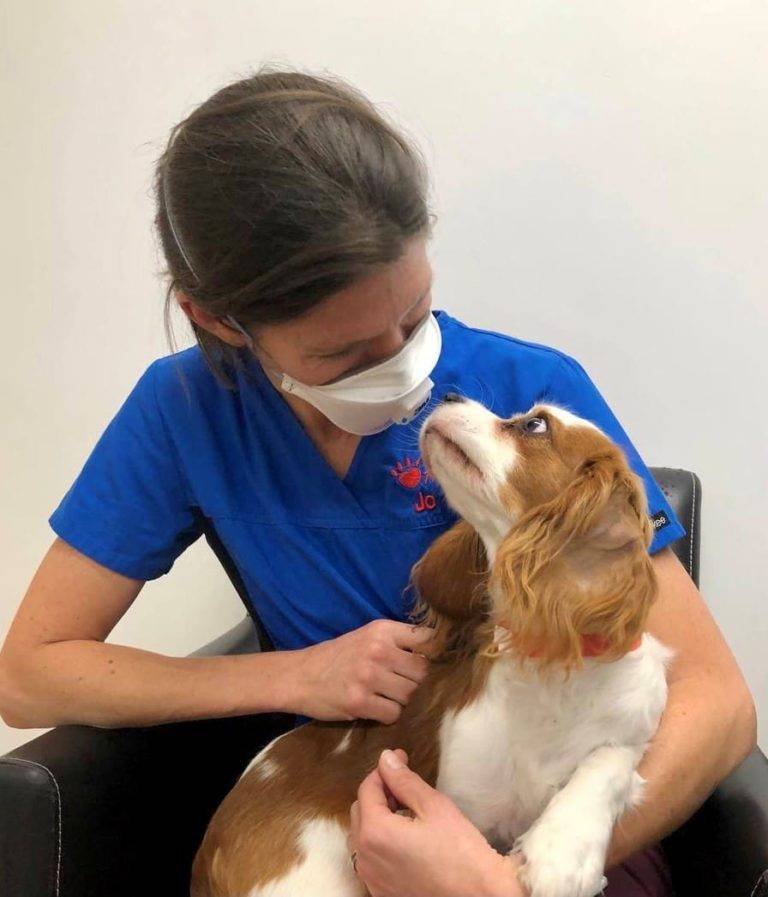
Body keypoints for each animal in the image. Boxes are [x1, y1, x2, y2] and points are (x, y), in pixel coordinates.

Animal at [190, 396, 672, 896]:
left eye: (535, 425)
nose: (448, 396)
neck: (549, 670)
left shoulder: (636, 722)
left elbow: (610, 760)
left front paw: (563, 852)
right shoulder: (469, 809)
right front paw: (561, 855)